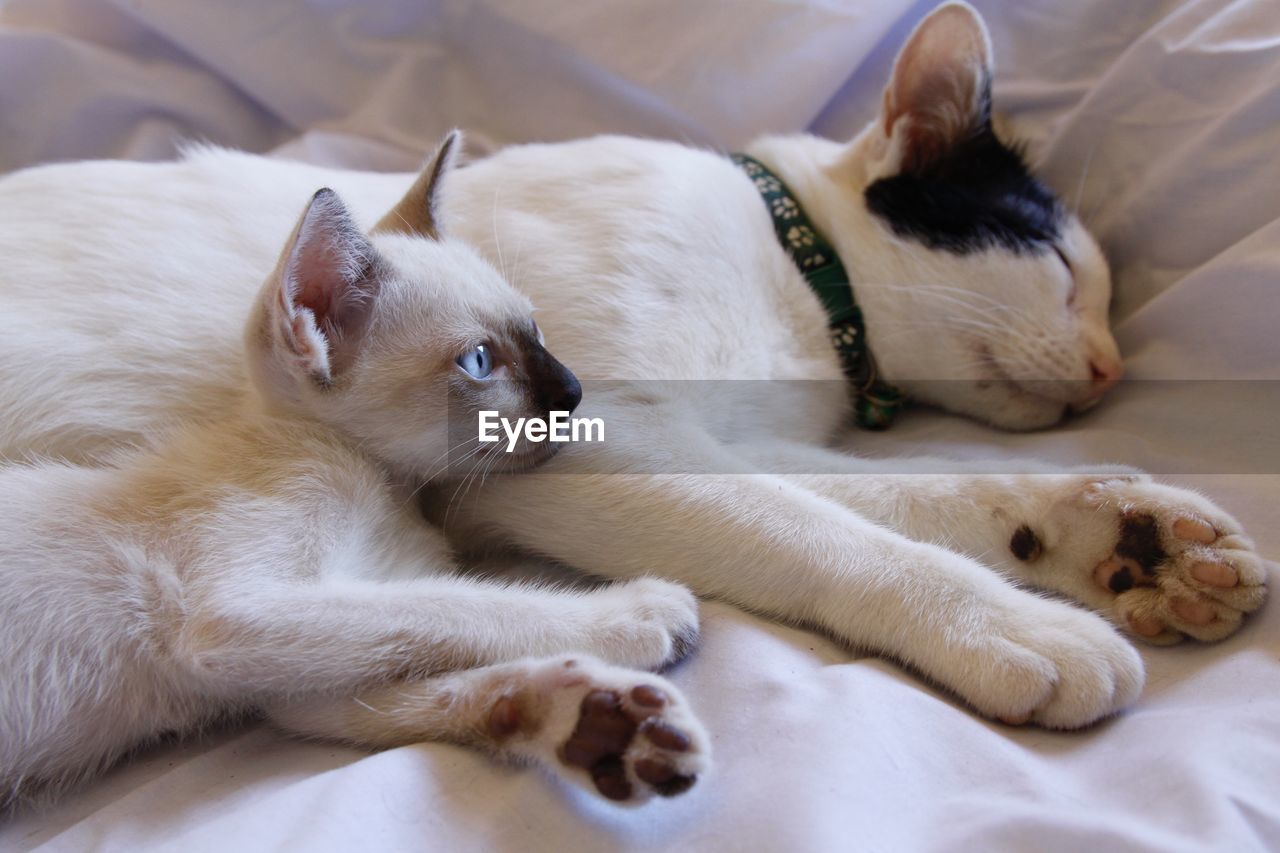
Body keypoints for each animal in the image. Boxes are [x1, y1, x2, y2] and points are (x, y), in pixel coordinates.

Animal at [0, 133, 711, 804]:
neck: (387, 487)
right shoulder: (235, 618)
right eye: (480, 362)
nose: (573, 391)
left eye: (535, 329)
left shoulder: (300, 687)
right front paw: (638, 614)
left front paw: (601, 728)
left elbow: (450, 678)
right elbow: (464, 607)